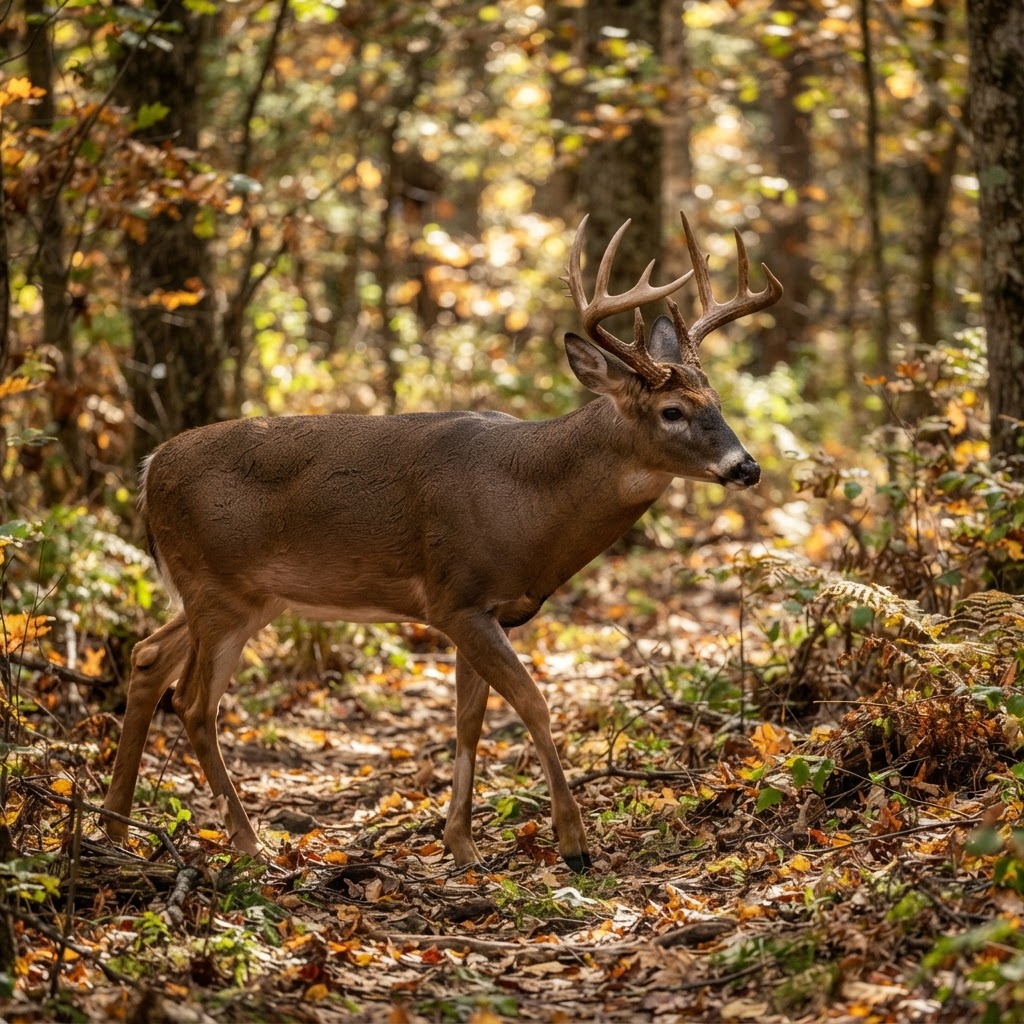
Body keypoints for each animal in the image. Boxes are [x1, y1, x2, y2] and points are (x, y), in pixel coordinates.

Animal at [102, 211, 782, 871]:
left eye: (717, 401)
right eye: (672, 411)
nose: (746, 467)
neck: (528, 502)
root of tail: (149, 468)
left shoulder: (485, 611)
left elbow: (468, 721)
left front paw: (461, 844)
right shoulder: (456, 596)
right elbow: (532, 703)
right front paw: (573, 842)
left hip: (231, 595)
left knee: (147, 657)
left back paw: (113, 828)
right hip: (217, 590)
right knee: (193, 703)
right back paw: (246, 843)